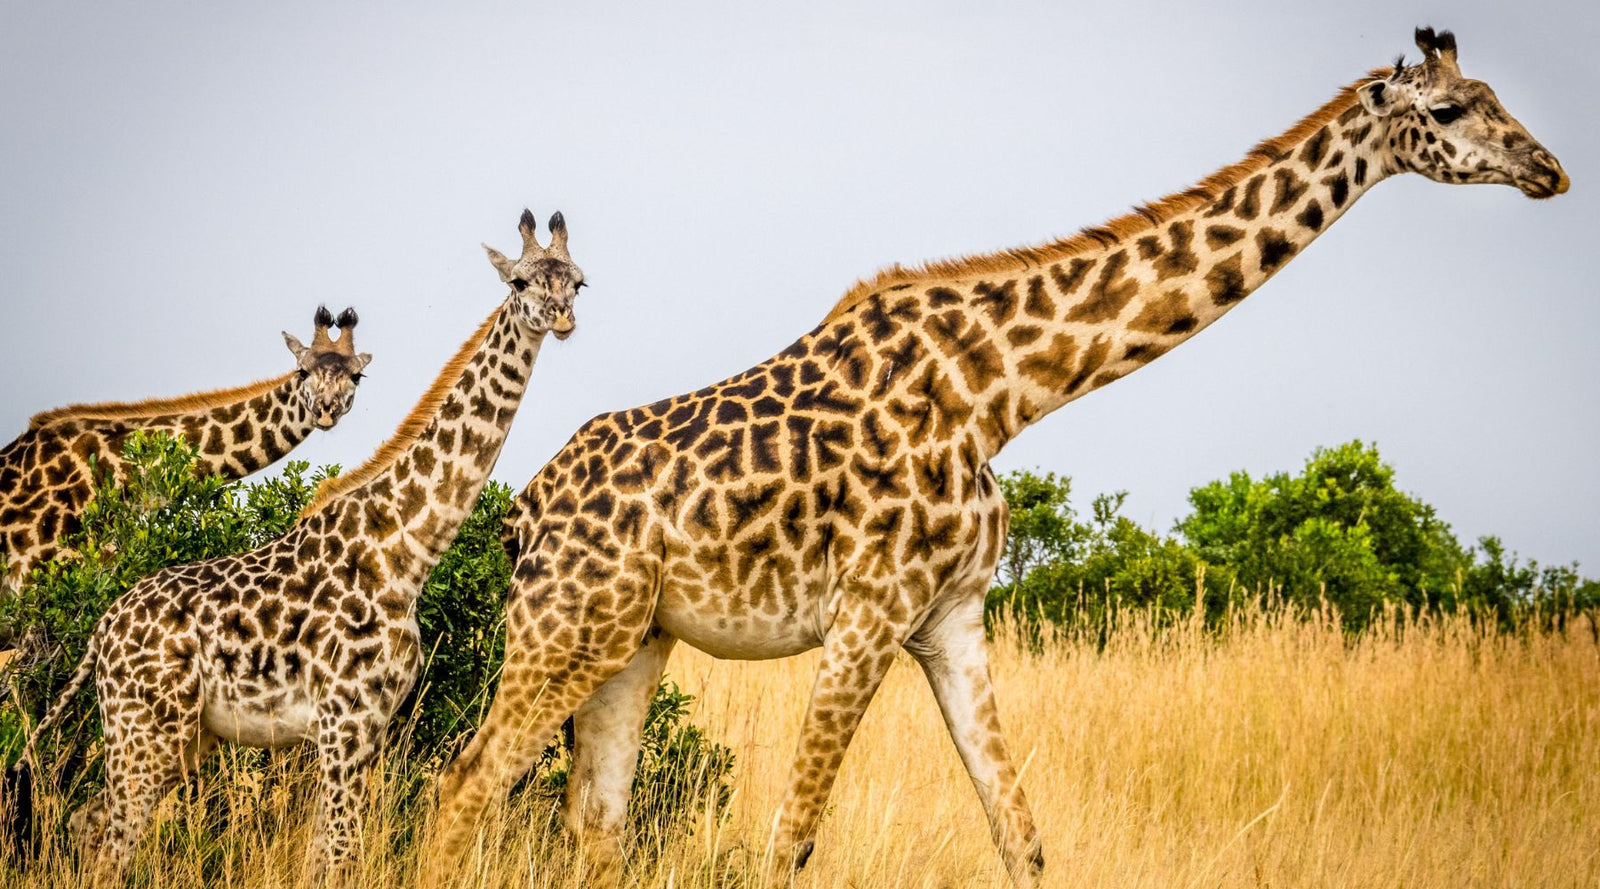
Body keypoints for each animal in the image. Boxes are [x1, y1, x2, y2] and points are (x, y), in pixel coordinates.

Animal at [426, 28, 1567, 886]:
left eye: (1495, 94)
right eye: (1451, 111)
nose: (1547, 169)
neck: (1003, 393)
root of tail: (520, 511)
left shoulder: (953, 618)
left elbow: (1020, 834)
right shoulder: (868, 612)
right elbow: (788, 839)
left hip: (633, 640)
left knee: (595, 818)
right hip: (562, 628)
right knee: (464, 781)